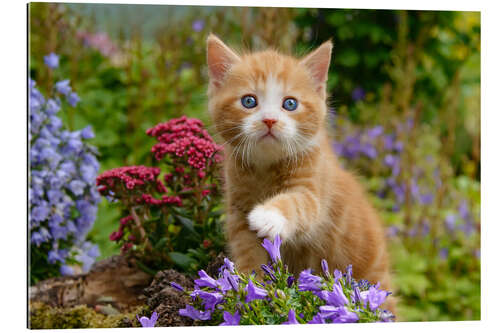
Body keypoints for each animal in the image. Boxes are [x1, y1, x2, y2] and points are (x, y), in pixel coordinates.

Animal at [206, 35, 394, 312]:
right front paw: (250, 289)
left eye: (290, 104)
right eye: (249, 101)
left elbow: (299, 203)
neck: (265, 168)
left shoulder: (315, 185)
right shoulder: (237, 208)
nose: (270, 120)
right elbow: (247, 249)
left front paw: (268, 215)